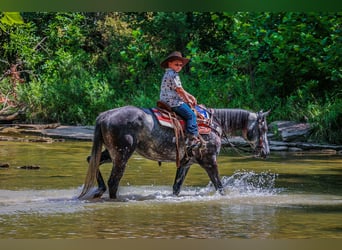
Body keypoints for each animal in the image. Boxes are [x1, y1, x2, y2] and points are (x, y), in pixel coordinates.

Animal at [78, 105, 270, 199]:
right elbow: (220, 186)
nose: (266, 152)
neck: (214, 125)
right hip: (121, 155)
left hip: (111, 154)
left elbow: (176, 187)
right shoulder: (210, 161)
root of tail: (105, 116)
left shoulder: (186, 163)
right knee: (113, 182)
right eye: (264, 128)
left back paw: (99, 190)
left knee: (91, 160)